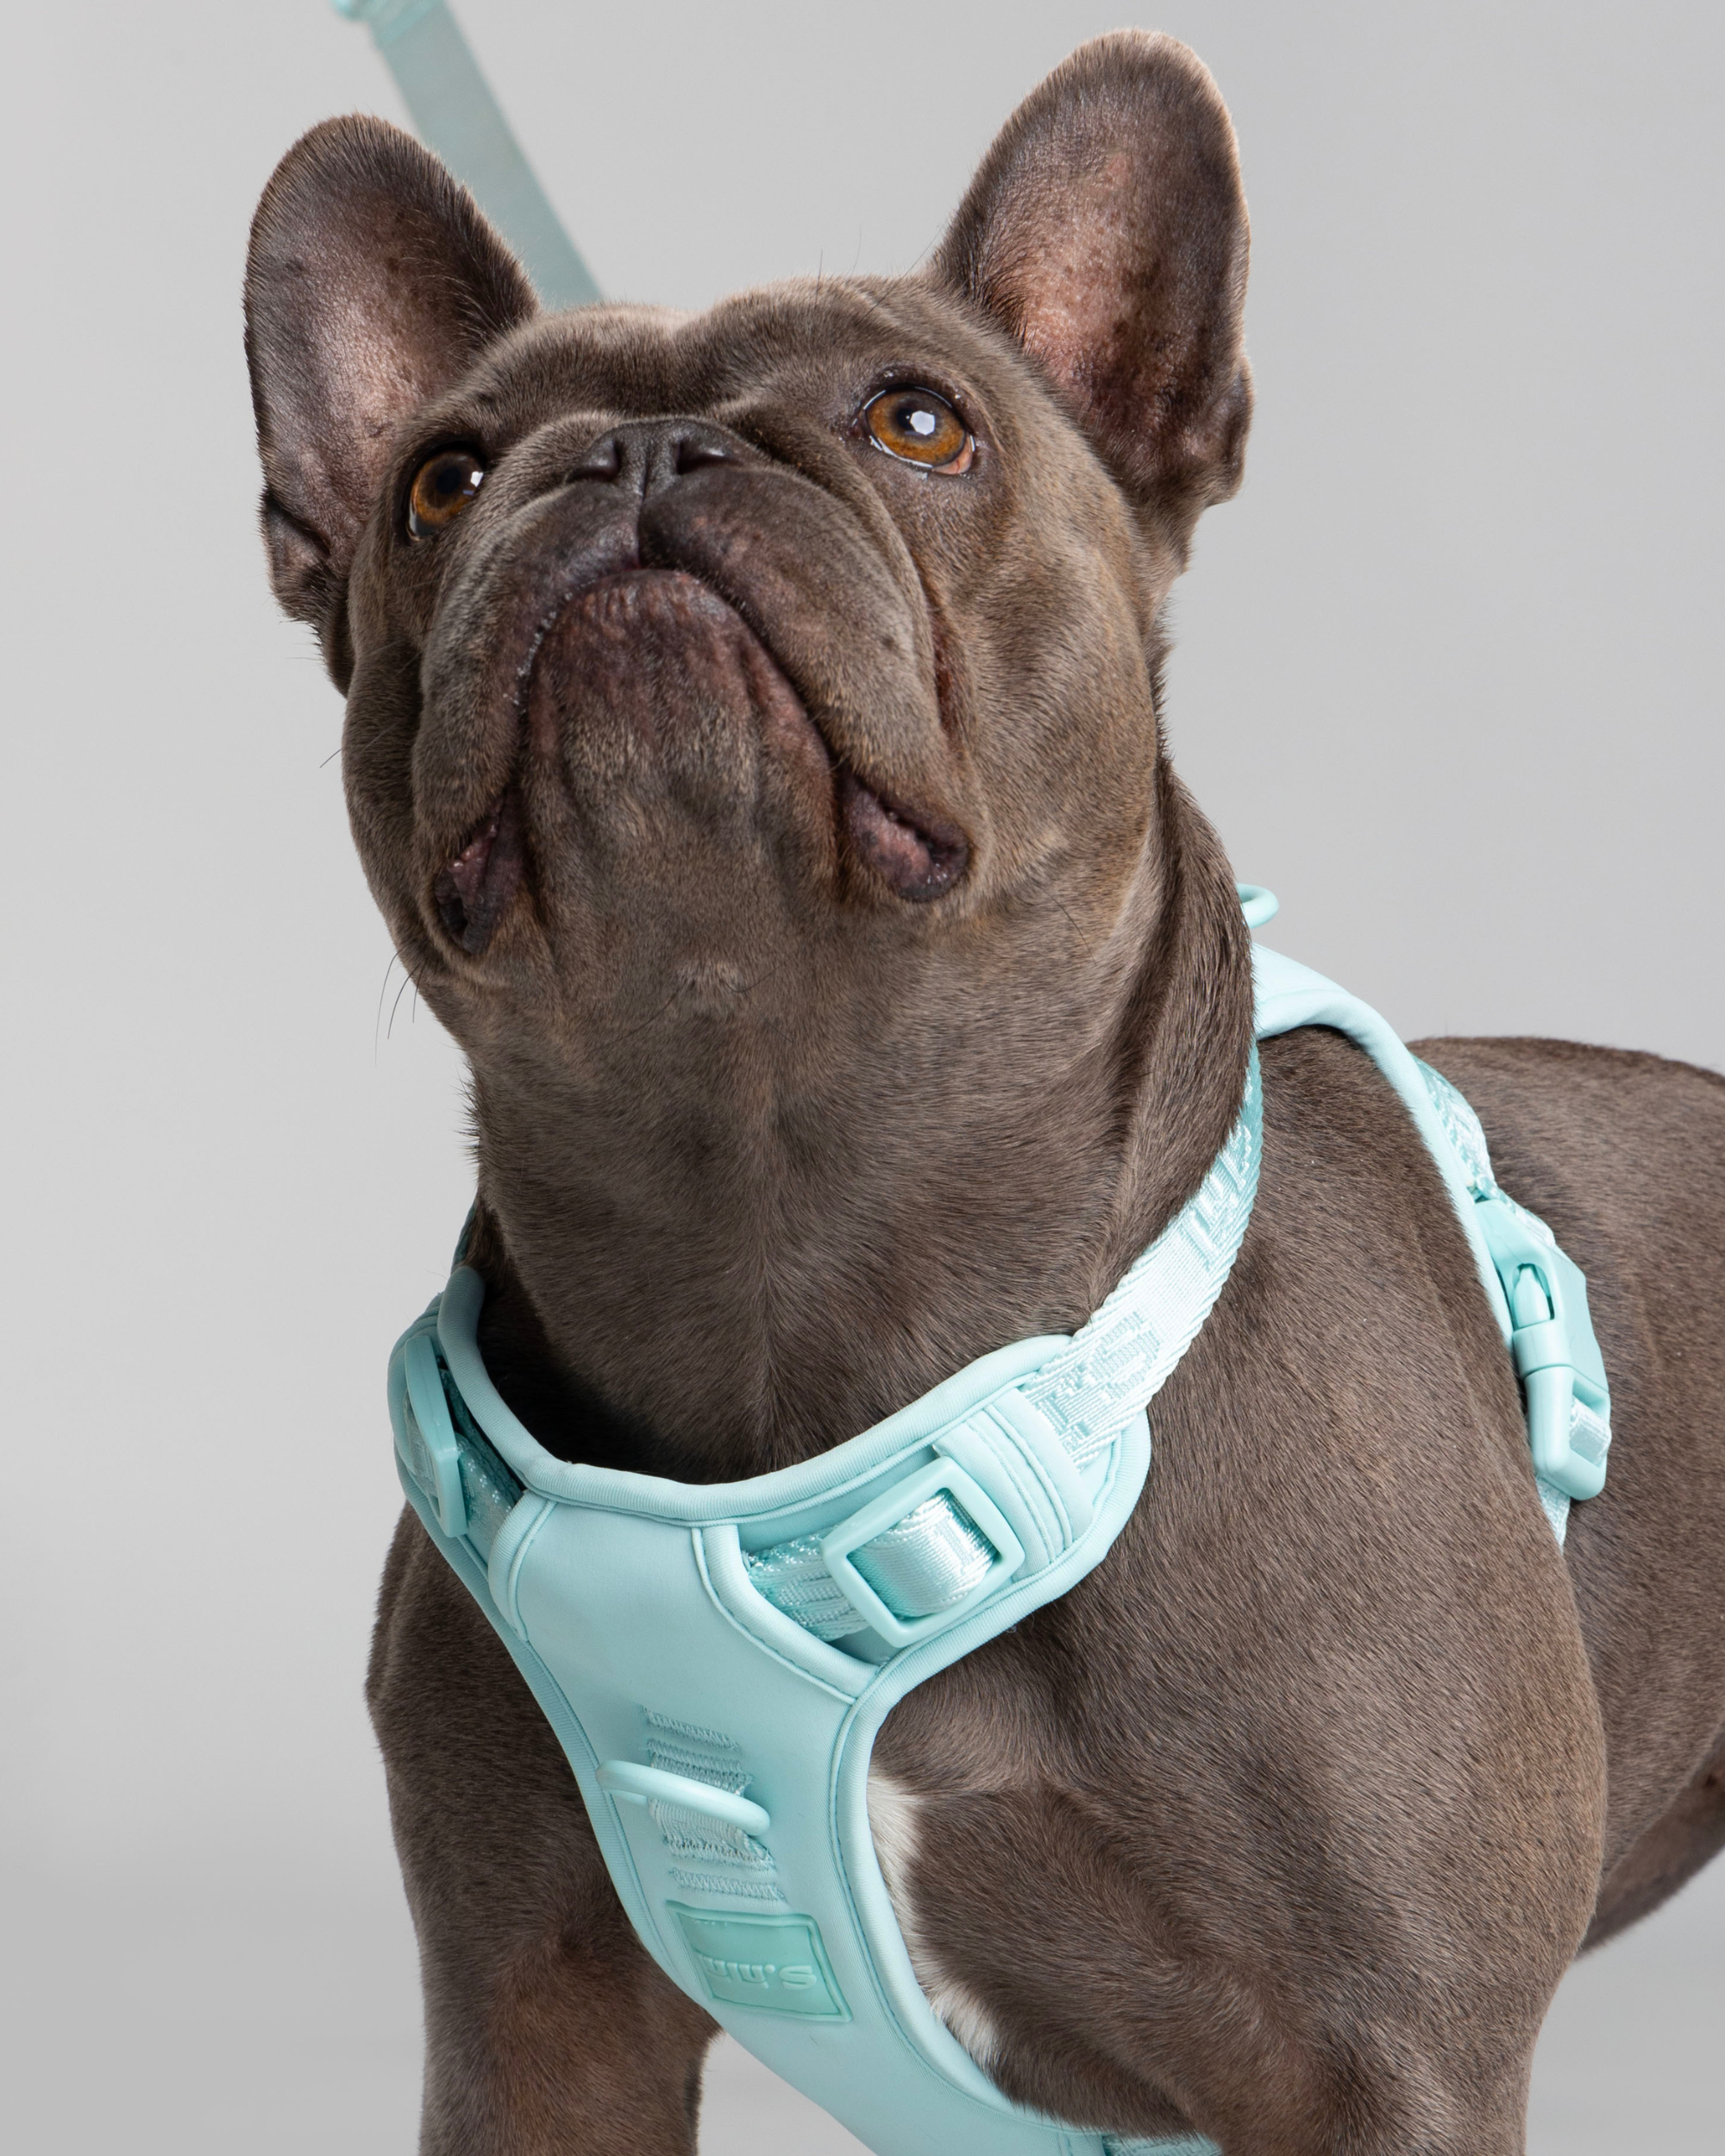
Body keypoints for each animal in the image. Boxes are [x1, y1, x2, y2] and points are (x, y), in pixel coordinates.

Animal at [242, 34, 1725, 2156]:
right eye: (440, 480)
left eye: (917, 422)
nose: (640, 455)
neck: (777, 1169)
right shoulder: (534, 2017)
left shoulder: (1391, 2061)